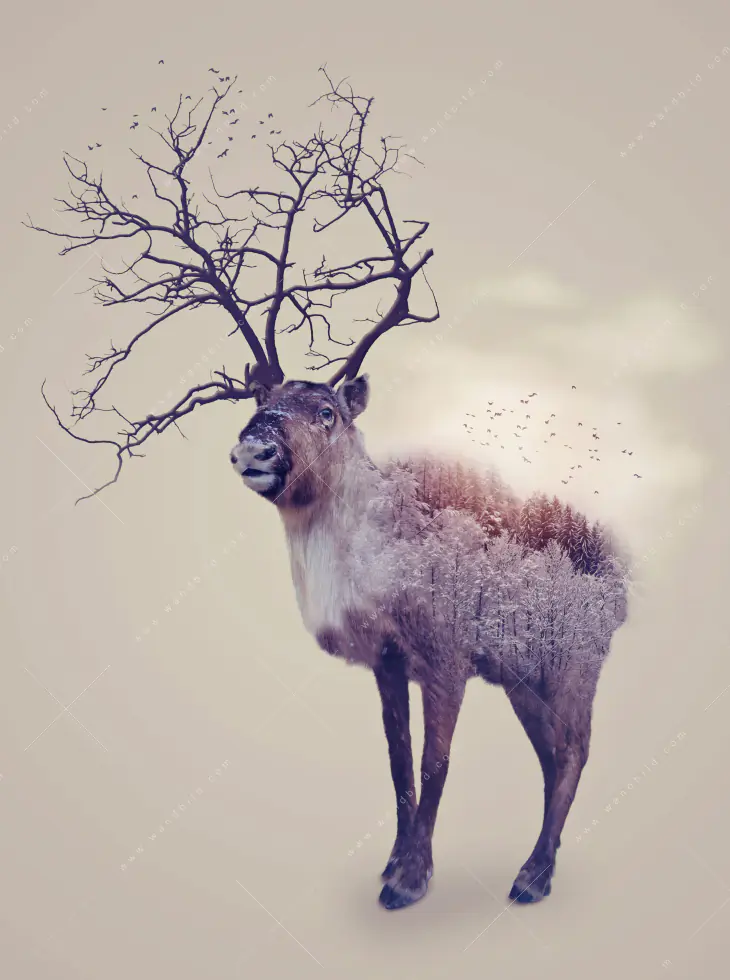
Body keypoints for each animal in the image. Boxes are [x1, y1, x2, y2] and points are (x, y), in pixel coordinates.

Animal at [230, 348, 629, 912]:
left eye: (327, 412)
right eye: (261, 399)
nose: (254, 449)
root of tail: (621, 585)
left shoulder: (447, 659)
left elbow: (433, 764)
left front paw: (409, 880)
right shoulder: (388, 663)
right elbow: (398, 763)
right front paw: (394, 862)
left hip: (573, 668)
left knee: (574, 752)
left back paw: (533, 877)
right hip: (522, 680)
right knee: (550, 758)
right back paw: (542, 864)